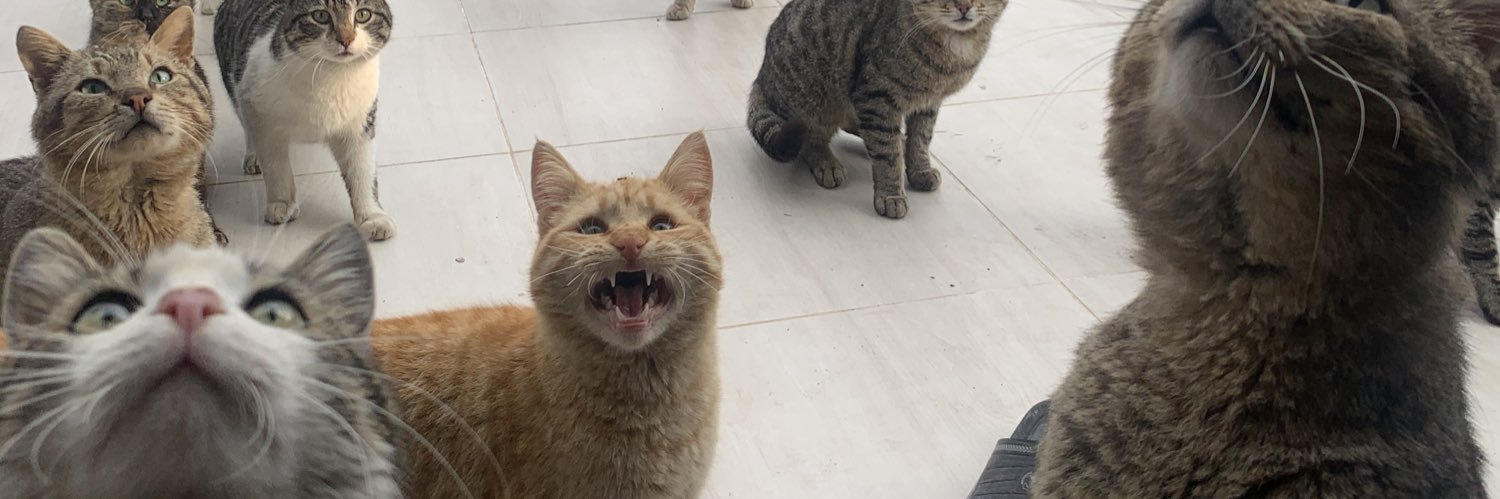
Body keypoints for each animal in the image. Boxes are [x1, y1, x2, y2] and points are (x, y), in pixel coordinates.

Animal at [214, 0, 397, 241]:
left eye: (363, 15)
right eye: (320, 16)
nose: (346, 39)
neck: (332, 76)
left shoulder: (360, 123)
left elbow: (362, 171)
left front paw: (372, 216)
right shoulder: (261, 114)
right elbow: (276, 167)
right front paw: (282, 204)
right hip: (236, 87)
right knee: (246, 126)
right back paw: (253, 158)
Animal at [747, 0, 1005, 219]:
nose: (964, 6)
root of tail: (761, 75)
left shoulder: (928, 104)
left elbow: (921, 139)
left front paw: (920, 169)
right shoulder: (876, 98)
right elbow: (886, 153)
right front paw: (891, 195)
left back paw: (899, 141)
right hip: (815, 98)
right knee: (811, 140)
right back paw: (827, 163)